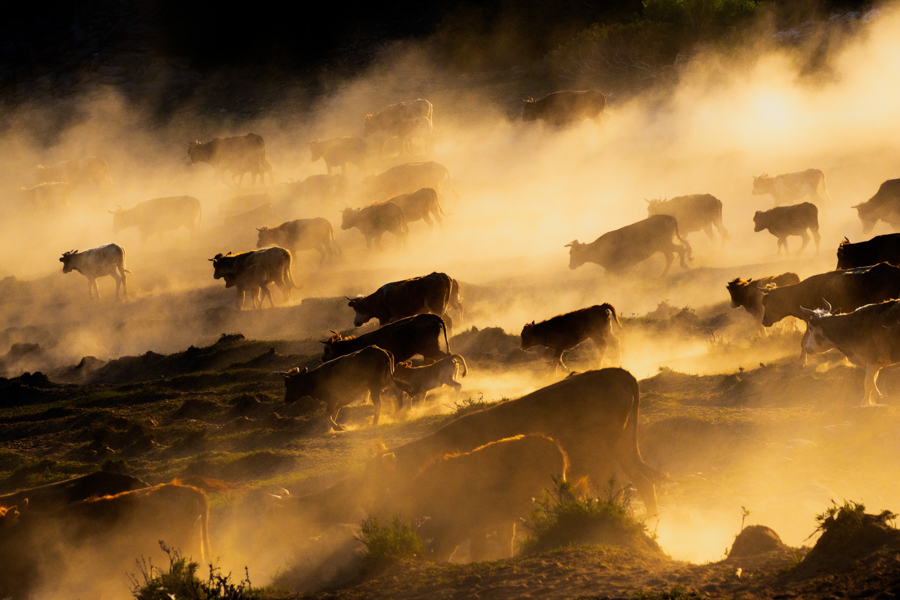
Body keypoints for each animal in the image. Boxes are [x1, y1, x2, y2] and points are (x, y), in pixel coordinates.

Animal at [370, 370, 660, 516]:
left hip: (604, 455)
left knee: (616, 487)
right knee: (644, 483)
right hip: (622, 449)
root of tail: (617, 373)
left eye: (385, 484)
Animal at [764, 264, 900, 366]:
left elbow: (803, 341)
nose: (763, 321)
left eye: (766, 303)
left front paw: (802, 362)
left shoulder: (812, 320)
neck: (801, 293)